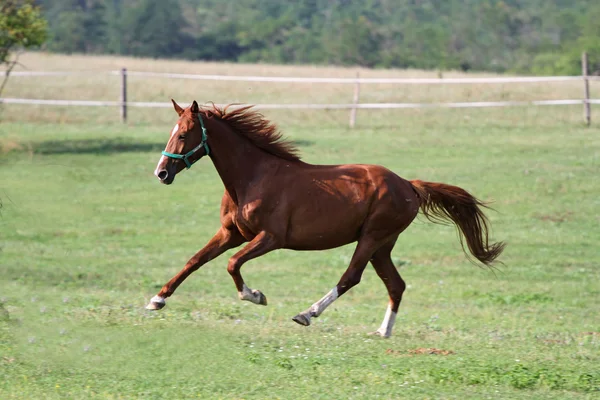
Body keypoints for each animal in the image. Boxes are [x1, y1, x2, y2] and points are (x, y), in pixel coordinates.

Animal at [148, 100, 504, 338]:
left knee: (351, 277)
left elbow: (232, 264)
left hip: (372, 238)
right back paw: (383, 331)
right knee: (396, 284)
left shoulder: (270, 238)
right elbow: (195, 261)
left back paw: (307, 314)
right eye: (172, 132)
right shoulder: (230, 233)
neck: (252, 177)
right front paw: (156, 299)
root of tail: (409, 185)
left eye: (184, 134)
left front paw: (255, 296)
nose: (161, 173)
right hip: (383, 246)